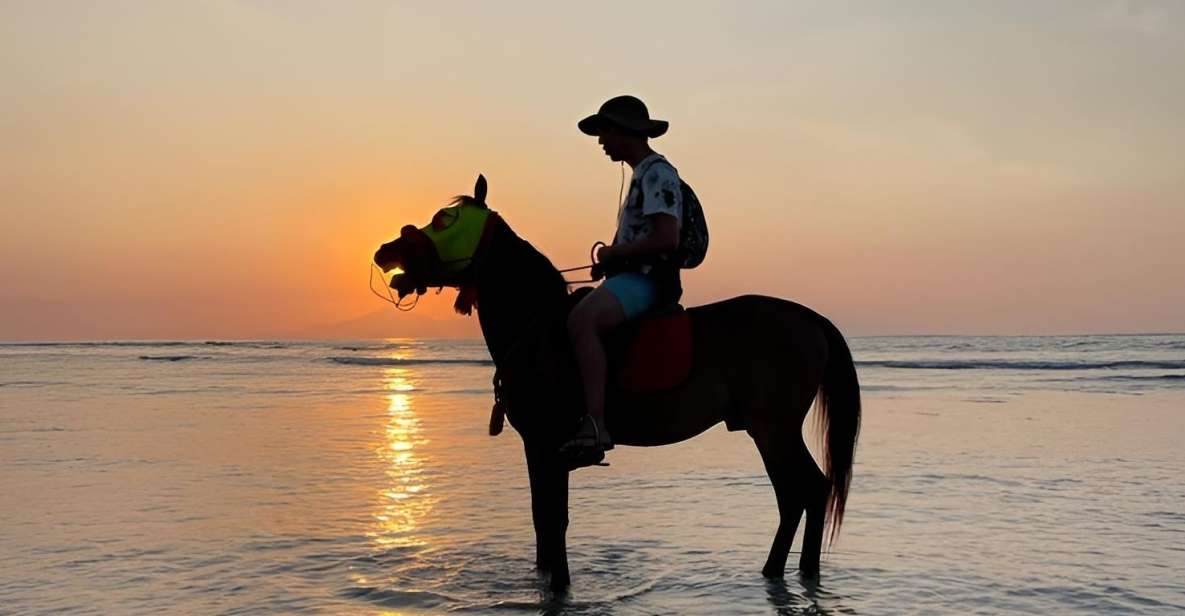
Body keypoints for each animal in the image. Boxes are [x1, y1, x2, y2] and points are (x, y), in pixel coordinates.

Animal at [372, 174, 862, 592]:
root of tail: (810, 318)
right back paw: (783, 573)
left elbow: (554, 520)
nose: (385, 249)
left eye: (444, 220)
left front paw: (560, 586)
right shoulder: (536, 447)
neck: (536, 327)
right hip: (770, 431)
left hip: (773, 429)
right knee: (799, 495)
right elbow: (541, 520)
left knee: (806, 491)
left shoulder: (546, 444)